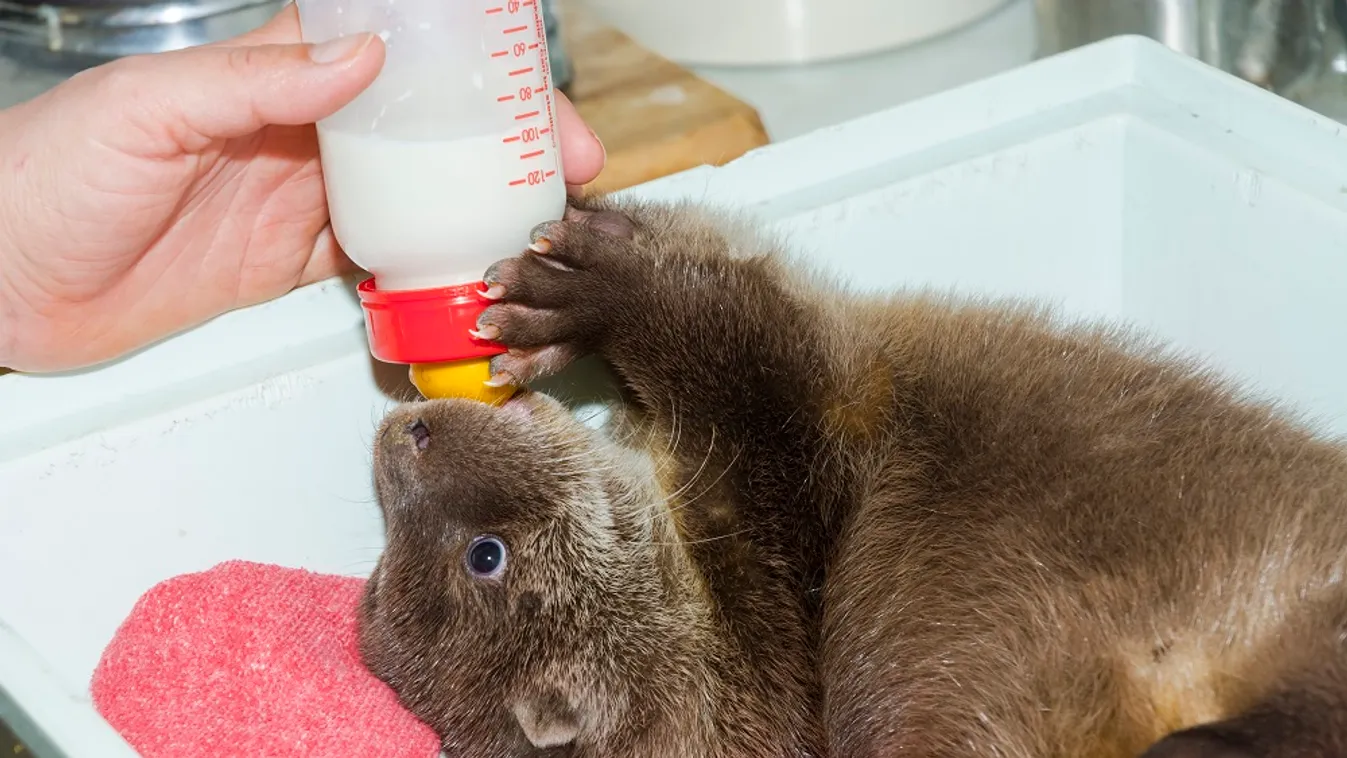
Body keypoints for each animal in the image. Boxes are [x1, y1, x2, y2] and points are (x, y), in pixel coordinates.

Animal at [359, 195, 1347, 758]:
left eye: (373, 583)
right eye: (484, 556)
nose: (403, 431)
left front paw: (558, 295)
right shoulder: (785, 529)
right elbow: (741, 343)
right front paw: (600, 289)